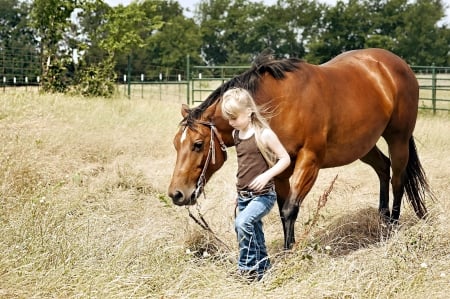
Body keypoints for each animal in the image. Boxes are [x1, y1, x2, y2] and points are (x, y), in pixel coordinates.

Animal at [167, 48, 434, 251]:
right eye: (176, 144)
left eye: (198, 144)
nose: (176, 194)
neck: (280, 103)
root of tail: (397, 64)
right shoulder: (280, 169)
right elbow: (282, 209)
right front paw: (289, 249)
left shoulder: (309, 161)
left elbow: (290, 209)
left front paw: (289, 253)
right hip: (363, 145)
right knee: (383, 168)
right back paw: (383, 219)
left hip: (398, 138)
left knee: (398, 179)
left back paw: (393, 226)